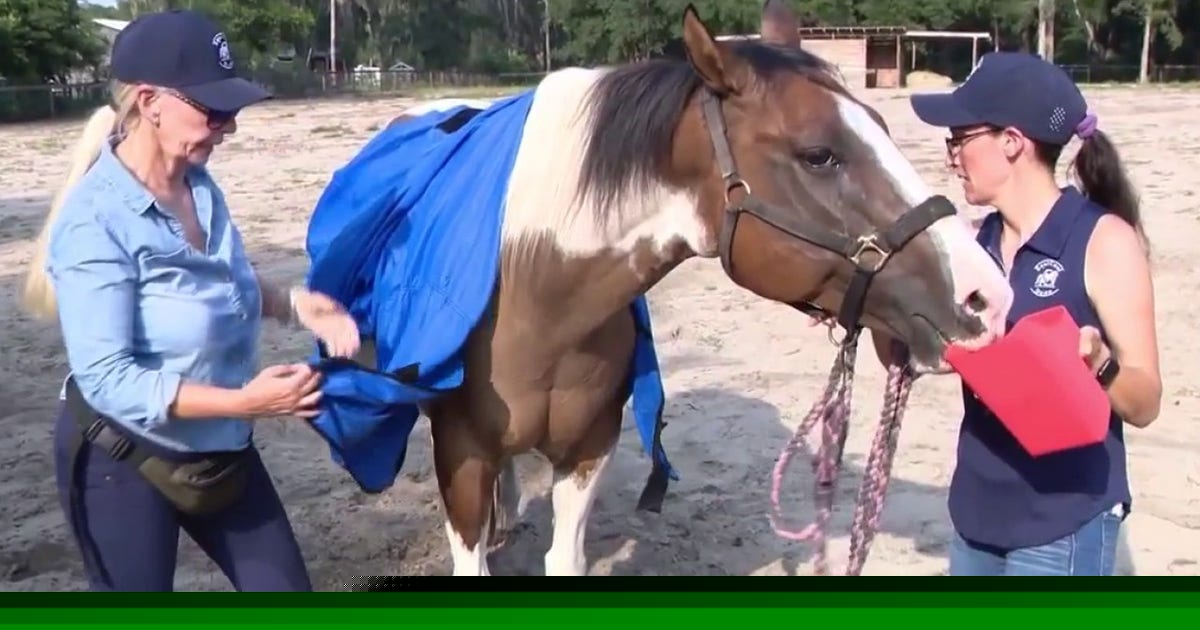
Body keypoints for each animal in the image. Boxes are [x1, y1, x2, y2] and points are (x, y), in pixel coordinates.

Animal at [322, 0, 1015, 576]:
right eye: (819, 154)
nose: (986, 297)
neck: (535, 296)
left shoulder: (588, 449)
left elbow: (564, 558)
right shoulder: (460, 456)